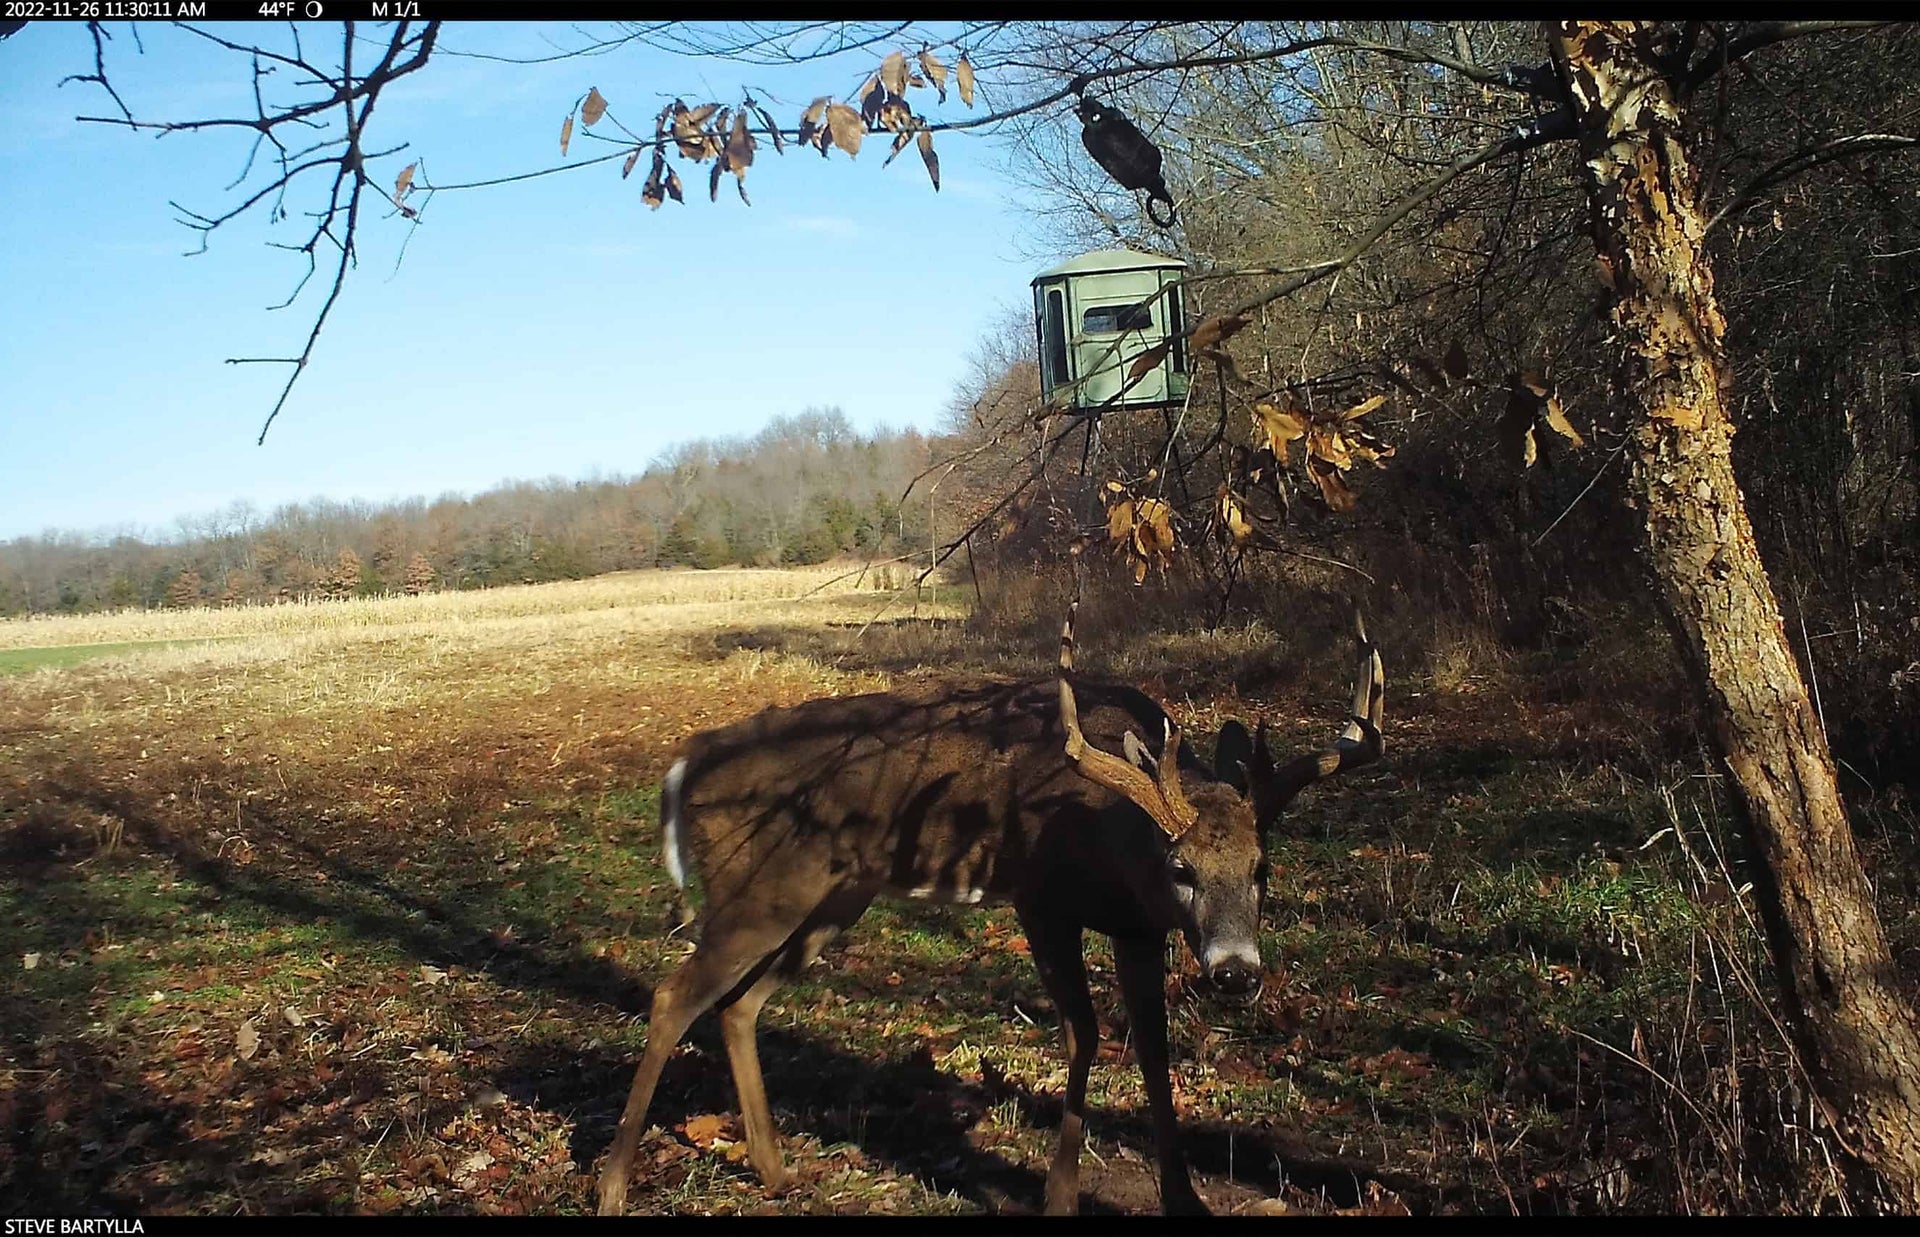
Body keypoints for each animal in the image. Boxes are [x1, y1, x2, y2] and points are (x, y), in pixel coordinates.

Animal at [595, 600, 1384, 1216]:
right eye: (1181, 868)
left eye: (1261, 868)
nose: (1235, 973)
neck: (1113, 838)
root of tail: (685, 762)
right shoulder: (1041, 899)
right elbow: (1084, 1035)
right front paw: (1060, 1195)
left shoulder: (1136, 927)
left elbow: (1153, 1050)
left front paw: (1184, 1200)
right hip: (761, 888)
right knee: (673, 995)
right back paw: (613, 1186)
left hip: (829, 900)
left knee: (738, 1004)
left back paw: (774, 1169)